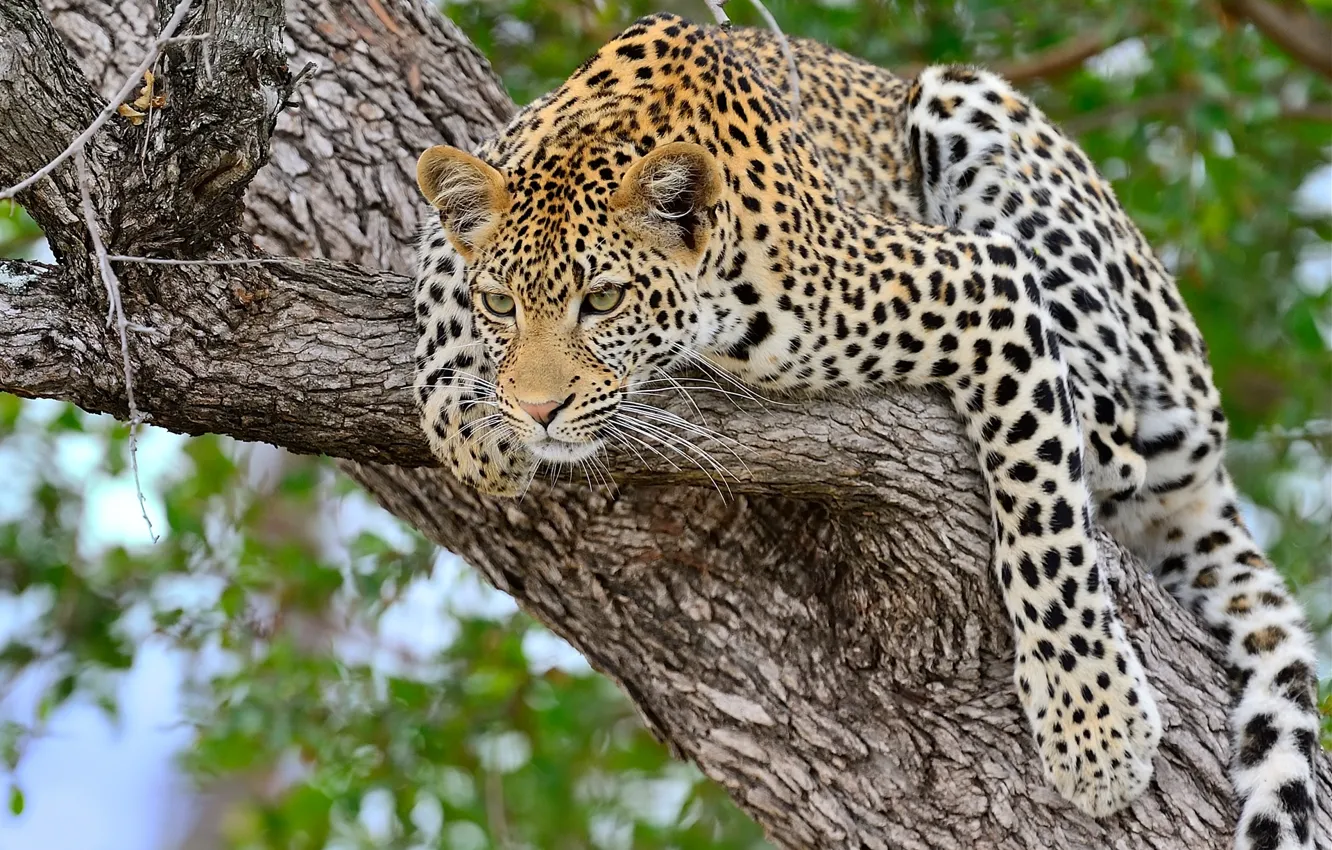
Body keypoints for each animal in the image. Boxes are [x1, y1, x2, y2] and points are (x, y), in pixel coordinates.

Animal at [410, 13, 1320, 849]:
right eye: (502, 304)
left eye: (601, 300)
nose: (537, 410)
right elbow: (435, 273)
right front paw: (467, 417)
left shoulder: (983, 281)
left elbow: (1046, 528)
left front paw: (1093, 726)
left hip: (974, 113)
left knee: (1120, 435)